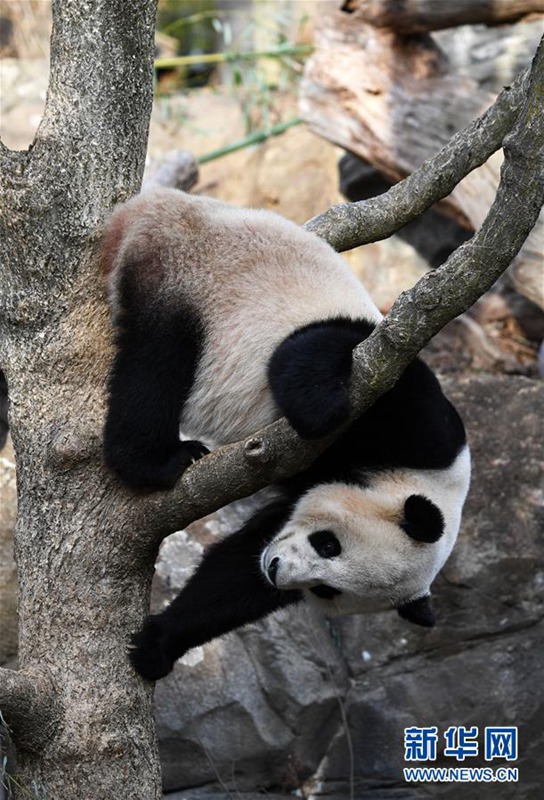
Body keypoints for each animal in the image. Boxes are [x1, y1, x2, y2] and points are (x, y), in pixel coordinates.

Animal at [102, 188, 470, 680]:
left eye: (326, 589)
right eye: (328, 544)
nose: (276, 568)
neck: (426, 483)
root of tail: (155, 207)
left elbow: (238, 571)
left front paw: (158, 644)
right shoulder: (416, 422)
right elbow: (309, 362)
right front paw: (325, 406)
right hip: (186, 274)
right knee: (156, 363)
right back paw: (158, 461)